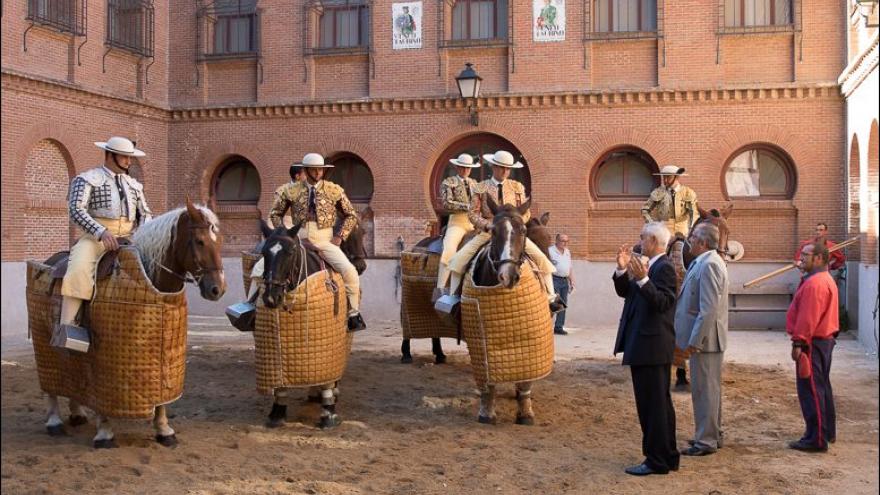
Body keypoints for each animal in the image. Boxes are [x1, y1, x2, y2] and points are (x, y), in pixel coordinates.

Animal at [45, 199, 227, 450]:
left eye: (219, 241)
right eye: (200, 241)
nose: (217, 289)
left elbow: (161, 399)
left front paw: (164, 430)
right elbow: (104, 397)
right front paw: (105, 433)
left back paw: (77, 413)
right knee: (50, 385)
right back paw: (54, 421)